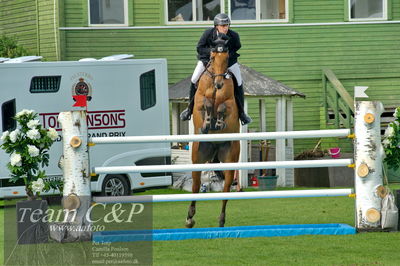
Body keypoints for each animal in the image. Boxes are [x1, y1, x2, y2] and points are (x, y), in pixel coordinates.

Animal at [185, 35, 239, 228]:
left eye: (227, 57)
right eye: (213, 57)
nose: (219, 83)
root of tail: (215, 148)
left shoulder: (231, 103)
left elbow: (223, 106)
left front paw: (219, 122)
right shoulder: (199, 100)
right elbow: (206, 103)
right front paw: (207, 123)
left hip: (230, 158)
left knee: (226, 189)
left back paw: (221, 220)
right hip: (198, 157)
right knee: (195, 186)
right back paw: (189, 218)